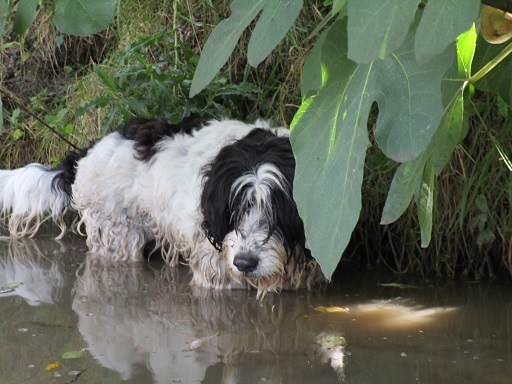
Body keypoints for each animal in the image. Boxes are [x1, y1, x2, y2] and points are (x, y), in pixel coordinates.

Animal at [0, 118, 326, 296]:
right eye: (233, 209)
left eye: (278, 210)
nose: (244, 263)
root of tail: (86, 153)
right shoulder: (216, 270)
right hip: (116, 236)